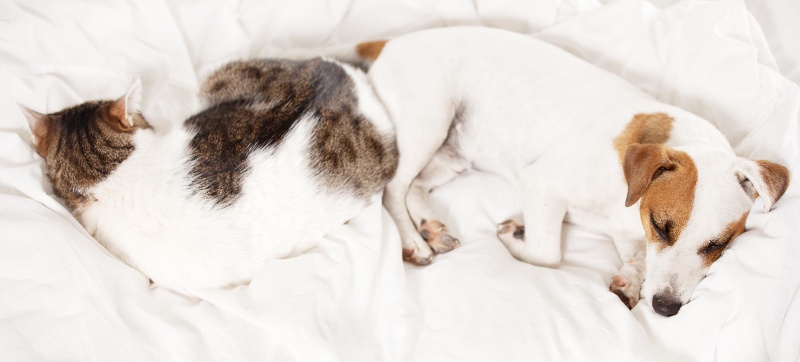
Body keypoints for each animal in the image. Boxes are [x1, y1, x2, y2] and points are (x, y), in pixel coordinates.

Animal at [292, 26, 788, 316]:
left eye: (717, 245)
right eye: (661, 225)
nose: (666, 308)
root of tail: (396, 41)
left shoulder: (631, 238)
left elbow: (635, 260)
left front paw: (630, 280)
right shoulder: (545, 187)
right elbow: (548, 254)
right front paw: (516, 237)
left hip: (452, 154)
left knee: (415, 188)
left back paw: (430, 226)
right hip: (426, 122)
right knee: (393, 190)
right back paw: (414, 241)